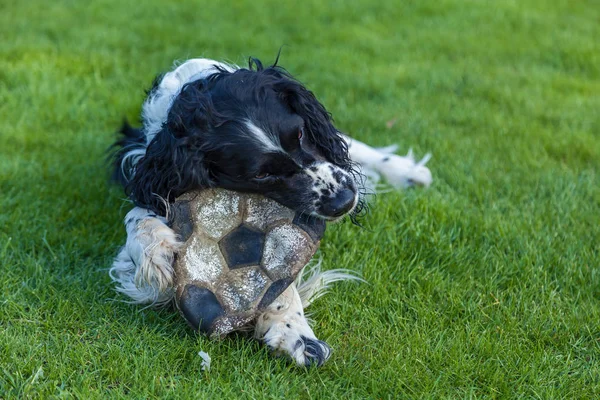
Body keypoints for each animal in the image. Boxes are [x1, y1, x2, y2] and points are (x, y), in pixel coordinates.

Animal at [110, 56, 432, 366]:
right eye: (262, 174)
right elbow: (138, 218)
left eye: (300, 133)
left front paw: (292, 328)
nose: (344, 201)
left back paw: (408, 171)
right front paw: (155, 254)